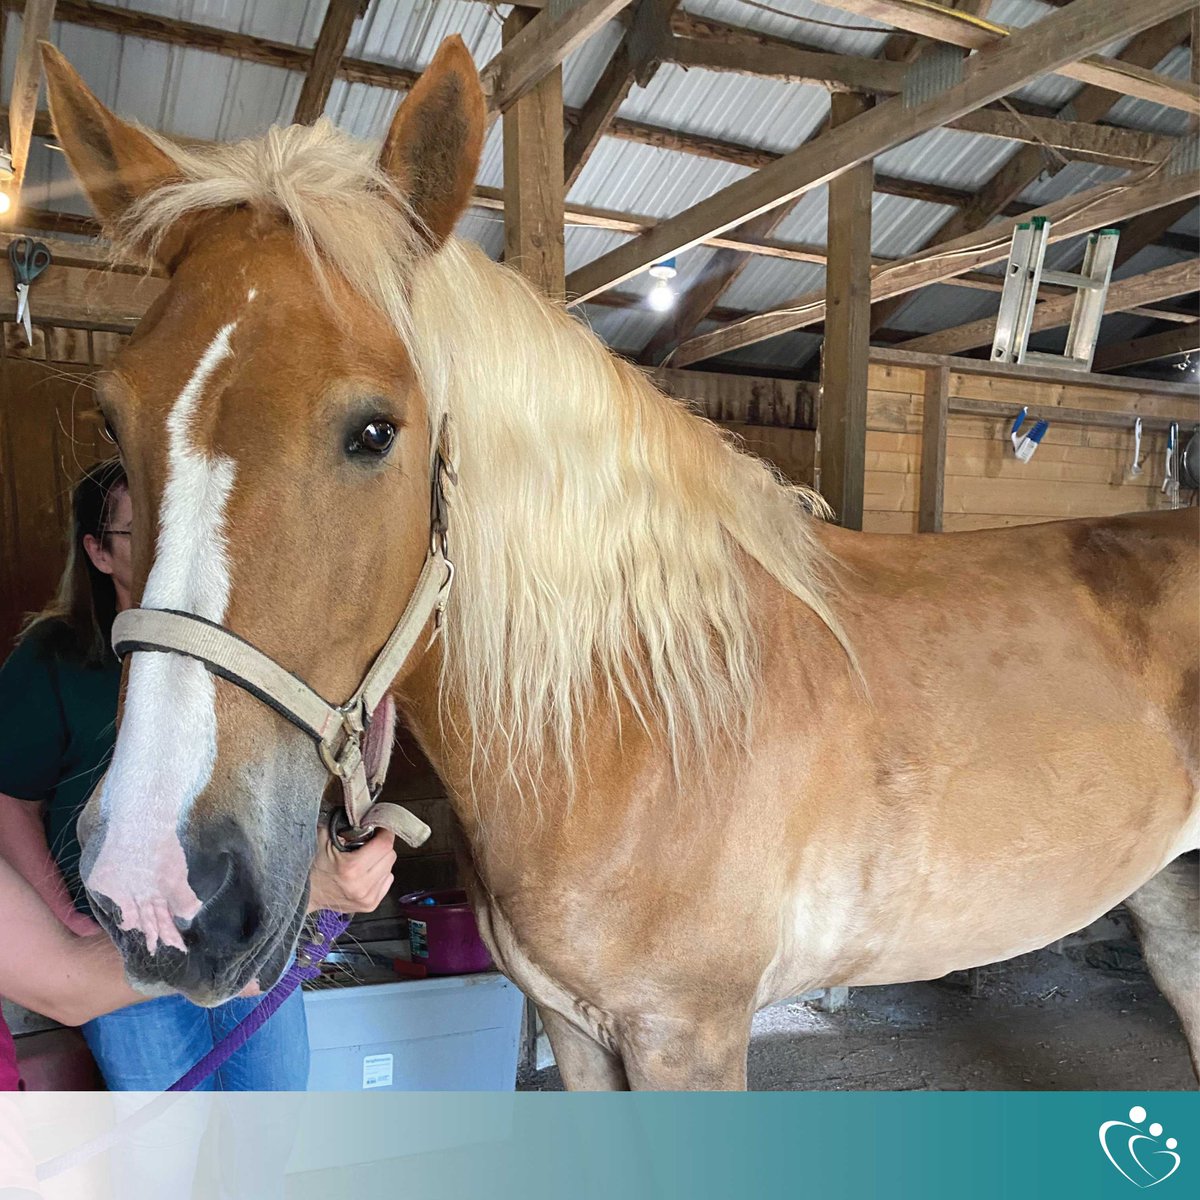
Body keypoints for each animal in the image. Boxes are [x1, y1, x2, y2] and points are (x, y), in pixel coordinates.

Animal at [42, 37, 1198, 1090]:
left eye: (374, 431)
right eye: (114, 417)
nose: (153, 889)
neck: (634, 715)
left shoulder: (689, 1037)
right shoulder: (573, 1027)